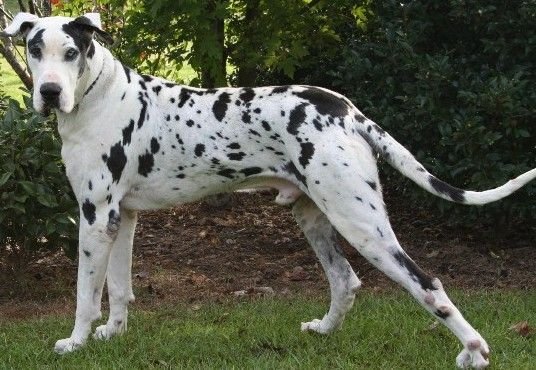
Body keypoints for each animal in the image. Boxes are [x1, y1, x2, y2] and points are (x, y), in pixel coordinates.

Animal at [2, 12, 532, 370]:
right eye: (34, 50)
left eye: (71, 53)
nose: (49, 92)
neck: (101, 97)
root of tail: (347, 111)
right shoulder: (122, 218)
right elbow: (119, 288)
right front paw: (112, 335)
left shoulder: (94, 217)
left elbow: (85, 294)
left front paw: (75, 342)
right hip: (315, 217)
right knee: (345, 281)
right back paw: (323, 330)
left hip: (361, 224)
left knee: (428, 285)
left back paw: (474, 351)